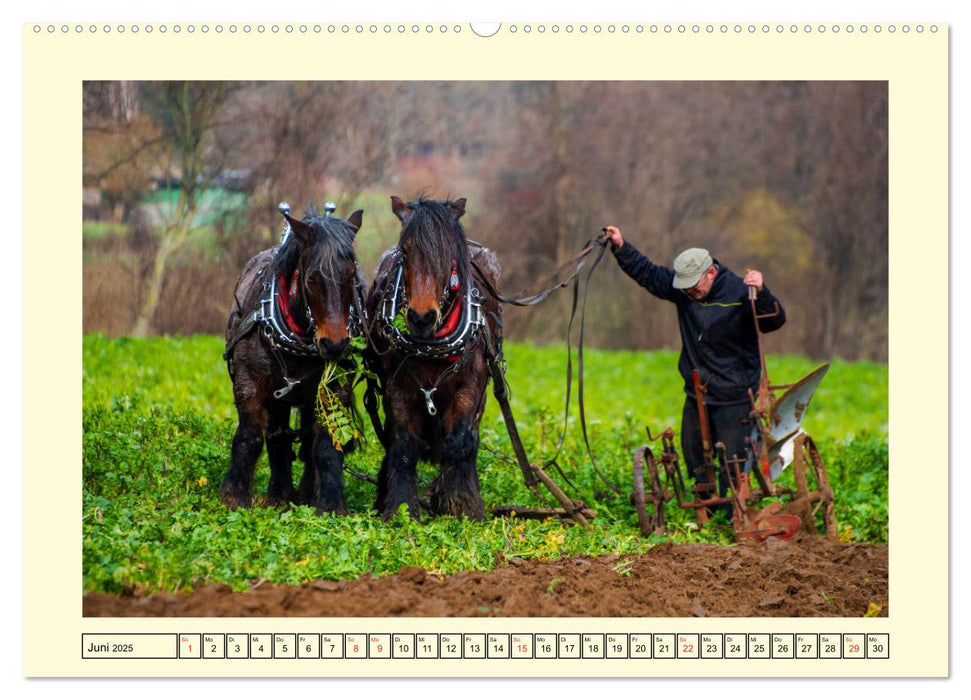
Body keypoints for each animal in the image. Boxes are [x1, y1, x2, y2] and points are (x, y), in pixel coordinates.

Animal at [220, 205, 364, 516]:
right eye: (311, 278)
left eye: (351, 275)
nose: (335, 345)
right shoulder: (251, 384)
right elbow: (250, 438)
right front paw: (234, 497)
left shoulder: (333, 388)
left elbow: (325, 446)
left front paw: (330, 504)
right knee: (278, 437)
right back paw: (280, 494)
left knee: (306, 441)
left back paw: (304, 494)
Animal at [364, 196, 502, 520]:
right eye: (405, 250)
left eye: (448, 254)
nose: (421, 317)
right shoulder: (398, 390)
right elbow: (402, 448)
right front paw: (400, 509)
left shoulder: (469, 388)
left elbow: (460, 442)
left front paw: (462, 506)